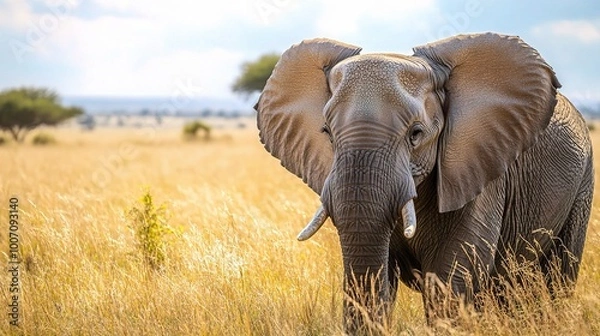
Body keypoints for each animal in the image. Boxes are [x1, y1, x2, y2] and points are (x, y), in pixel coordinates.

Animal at [252, 32, 592, 332]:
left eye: (416, 134)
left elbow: (452, 279)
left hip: (583, 182)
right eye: (327, 133)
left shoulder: (479, 171)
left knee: (556, 276)